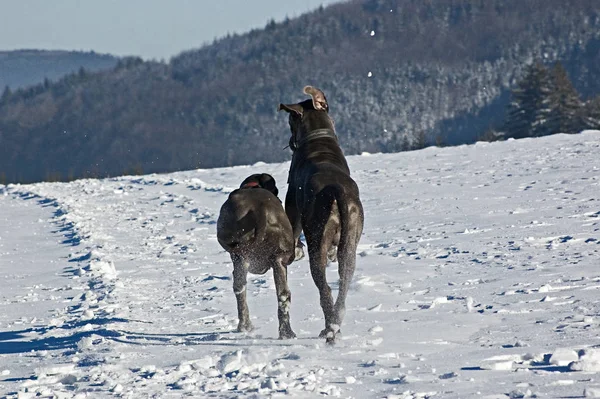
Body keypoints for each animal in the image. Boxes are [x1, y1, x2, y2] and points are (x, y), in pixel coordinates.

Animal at [218, 173, 298, 340]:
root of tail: (260, 211)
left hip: (241, 256)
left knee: (239, 288)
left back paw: (245, 326)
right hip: (277, 258)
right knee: (283, 295)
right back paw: (286, 333)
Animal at [278, 86, 364, 344]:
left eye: (290, 121)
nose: (290, 143)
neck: (318, 137)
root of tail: (336, 191)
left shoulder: (292, 206)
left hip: (317, 239)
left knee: (324, 288)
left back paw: (330, 329)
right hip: (350, 239)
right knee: (343, 284)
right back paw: (335, 323)